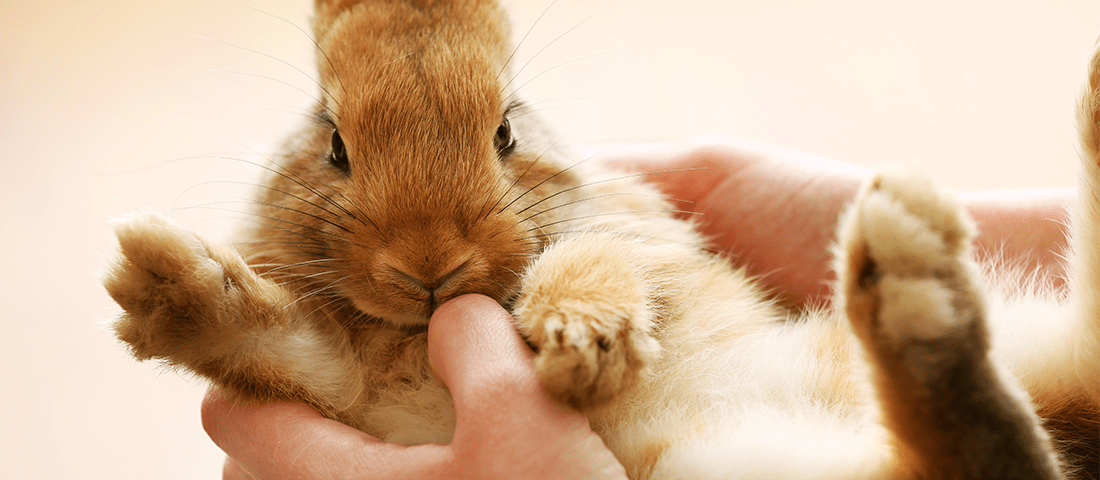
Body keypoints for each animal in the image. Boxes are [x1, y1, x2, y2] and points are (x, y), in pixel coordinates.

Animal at [103, 0, 1099, 478]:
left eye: (506, 132)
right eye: (334, 145)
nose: (429, 265)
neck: (416, 330)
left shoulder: (634, 237)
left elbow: (594, 259)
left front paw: (583, 338)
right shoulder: (345, 388)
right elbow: (280, 348)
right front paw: (163, 281)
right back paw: (913, 278)